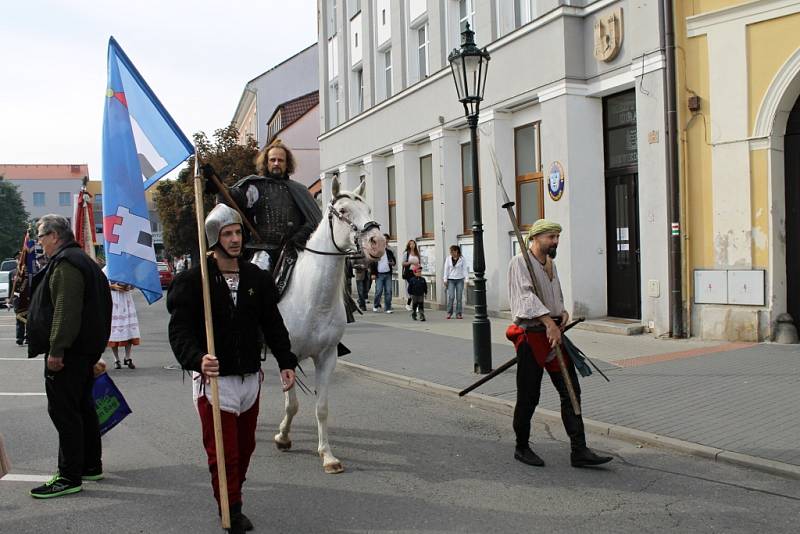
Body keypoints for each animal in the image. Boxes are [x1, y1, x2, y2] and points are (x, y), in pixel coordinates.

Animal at [276, 178, 388, 476]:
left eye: (368, 208)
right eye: (344, 211)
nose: (377, 242)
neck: (312, 298)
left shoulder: (327, 357)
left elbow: (322, 408)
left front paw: (327, 455)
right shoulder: (287, 356)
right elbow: (293, 404)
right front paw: (283, 437)